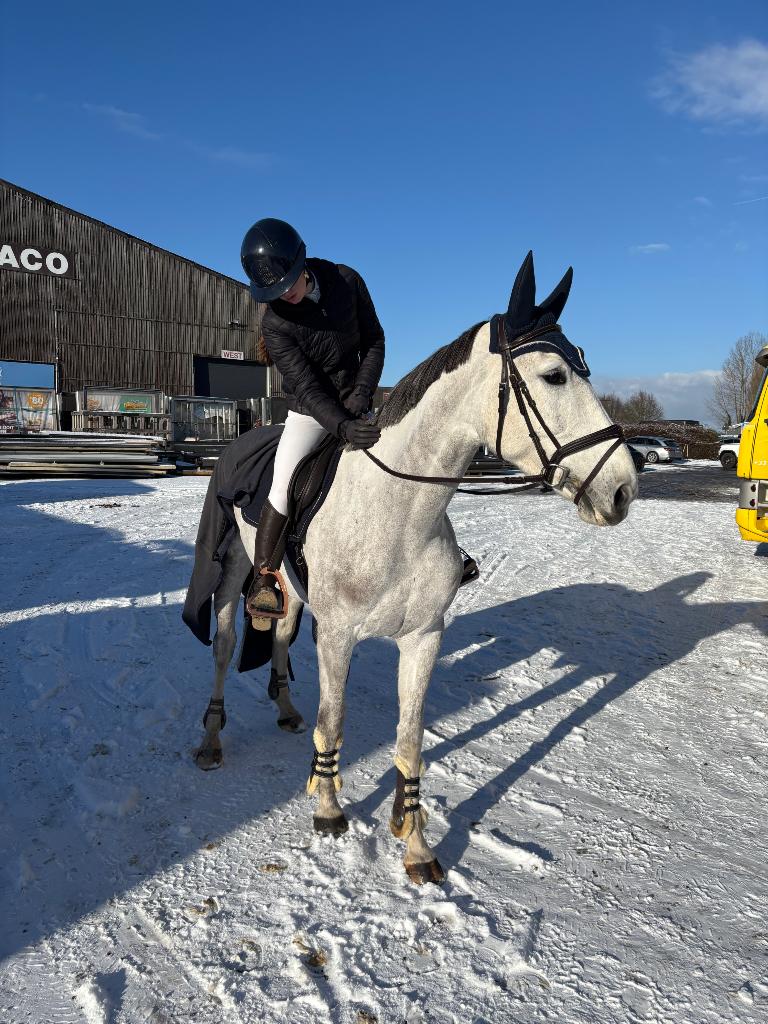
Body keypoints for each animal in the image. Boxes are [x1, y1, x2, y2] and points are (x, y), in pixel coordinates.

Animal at [192, 252, 638, 885]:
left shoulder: (424, 637)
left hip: (292, 591)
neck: (399, 510)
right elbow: (336, 719)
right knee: (226, 645)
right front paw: (328, 810)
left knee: (278, 635)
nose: (623, 489)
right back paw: (211, 740)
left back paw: (285, 710)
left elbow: (409, 739)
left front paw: (416, 844)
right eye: (555, 376)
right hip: (232, 569)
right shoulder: (339, 635)